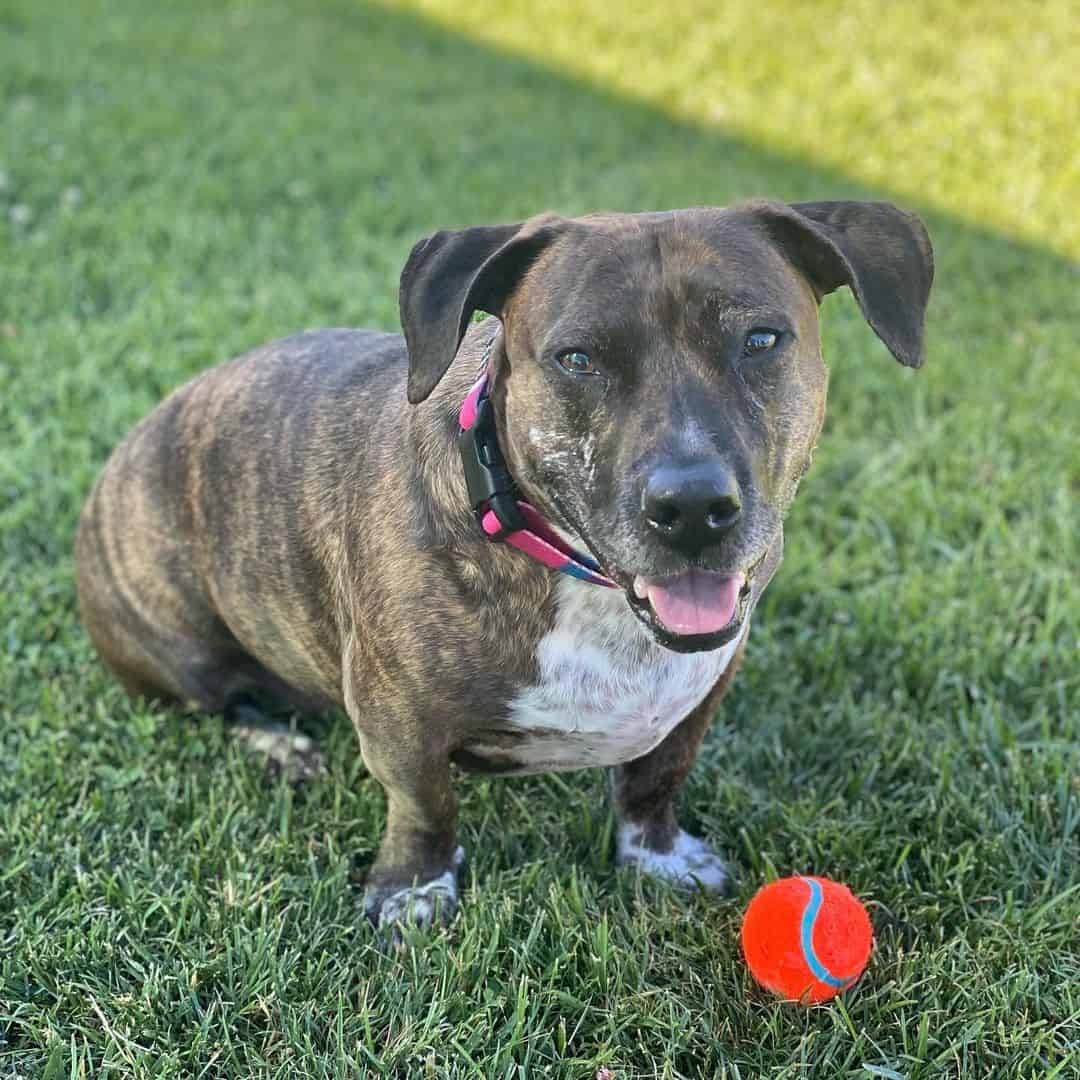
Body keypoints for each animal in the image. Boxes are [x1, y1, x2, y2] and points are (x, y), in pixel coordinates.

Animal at [76, 200, 933, 928]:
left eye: (760, 340)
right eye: (578, 358)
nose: (691, 507)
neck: (575, 574)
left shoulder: (699, 695)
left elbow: (656, 780)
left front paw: (657, 856)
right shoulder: (400, 722)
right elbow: (424, 805)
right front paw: (414, 889)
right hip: (179, 644)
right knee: (221, 702)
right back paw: (280, 745)